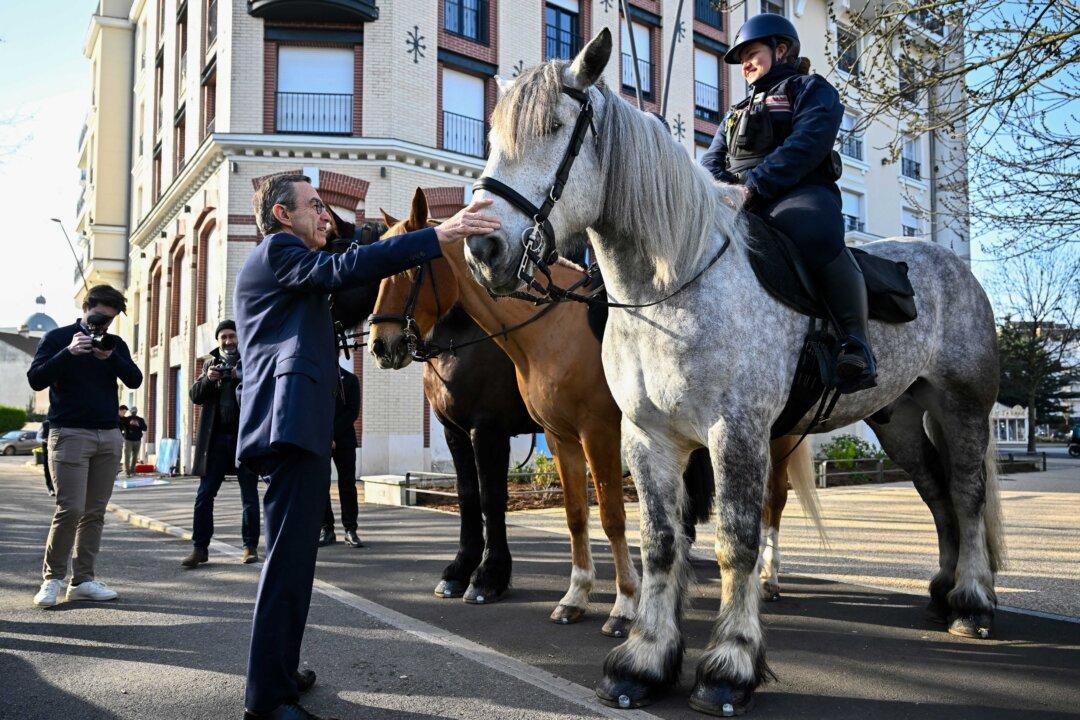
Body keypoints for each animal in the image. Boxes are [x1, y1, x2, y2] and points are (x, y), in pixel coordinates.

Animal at [326, 204, 542, 604]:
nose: (381, 346)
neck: (466, 337)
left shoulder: (487, 431)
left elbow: (492, 497)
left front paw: (489, 575)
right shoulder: (454, 432)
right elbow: (468, 495)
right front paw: (460, 569)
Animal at [370, 188, 824, 635]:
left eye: (411, 267)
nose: (380, 344)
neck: (551, 329)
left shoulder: (557, 431)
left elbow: (596, 514)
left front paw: (616, 602)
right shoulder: (517, 434)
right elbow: (537, 509)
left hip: (771, 433)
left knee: (772, 500)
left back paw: (767, 576)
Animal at [460, 30, 1005, 715]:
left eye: (556, 127)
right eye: (490, 135)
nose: (484, 248)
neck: (674, 285)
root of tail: (953, 265)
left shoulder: (735, 433)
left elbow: (736, 541)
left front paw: (730, 665)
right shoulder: (647, 437)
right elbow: (662, 541)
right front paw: (644, 660)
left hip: (962, 407)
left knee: (966, 492)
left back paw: (973, 603)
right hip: (900, 419)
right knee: (937, 494)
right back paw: (943, 590)